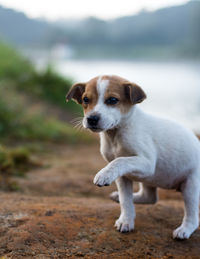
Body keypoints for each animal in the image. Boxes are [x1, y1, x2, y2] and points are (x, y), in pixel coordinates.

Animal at [66, 74, 200, 240]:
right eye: (85, 99)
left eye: (112, 100)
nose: (92, 119)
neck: (116, 134)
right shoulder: (124, 176)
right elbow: (126, 200)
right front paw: (126, 220)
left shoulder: (147, 163)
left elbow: (120, 160)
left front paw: (104, 174)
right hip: (150, 179)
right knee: (150, 197)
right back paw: (119, 197)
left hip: (190, 185)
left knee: (192, 215)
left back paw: (185, 229)